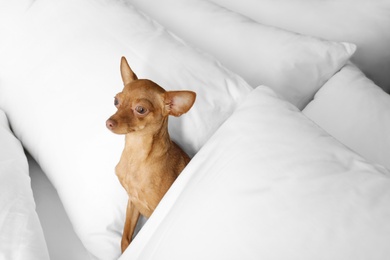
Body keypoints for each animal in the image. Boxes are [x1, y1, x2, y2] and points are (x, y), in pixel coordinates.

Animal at [106, 56, 195, 252]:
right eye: (116, 101)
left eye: (140, 109)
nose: (109, 122)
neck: (137, 155)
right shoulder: (133, 202)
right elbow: (125, 239)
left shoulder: (155, 211)